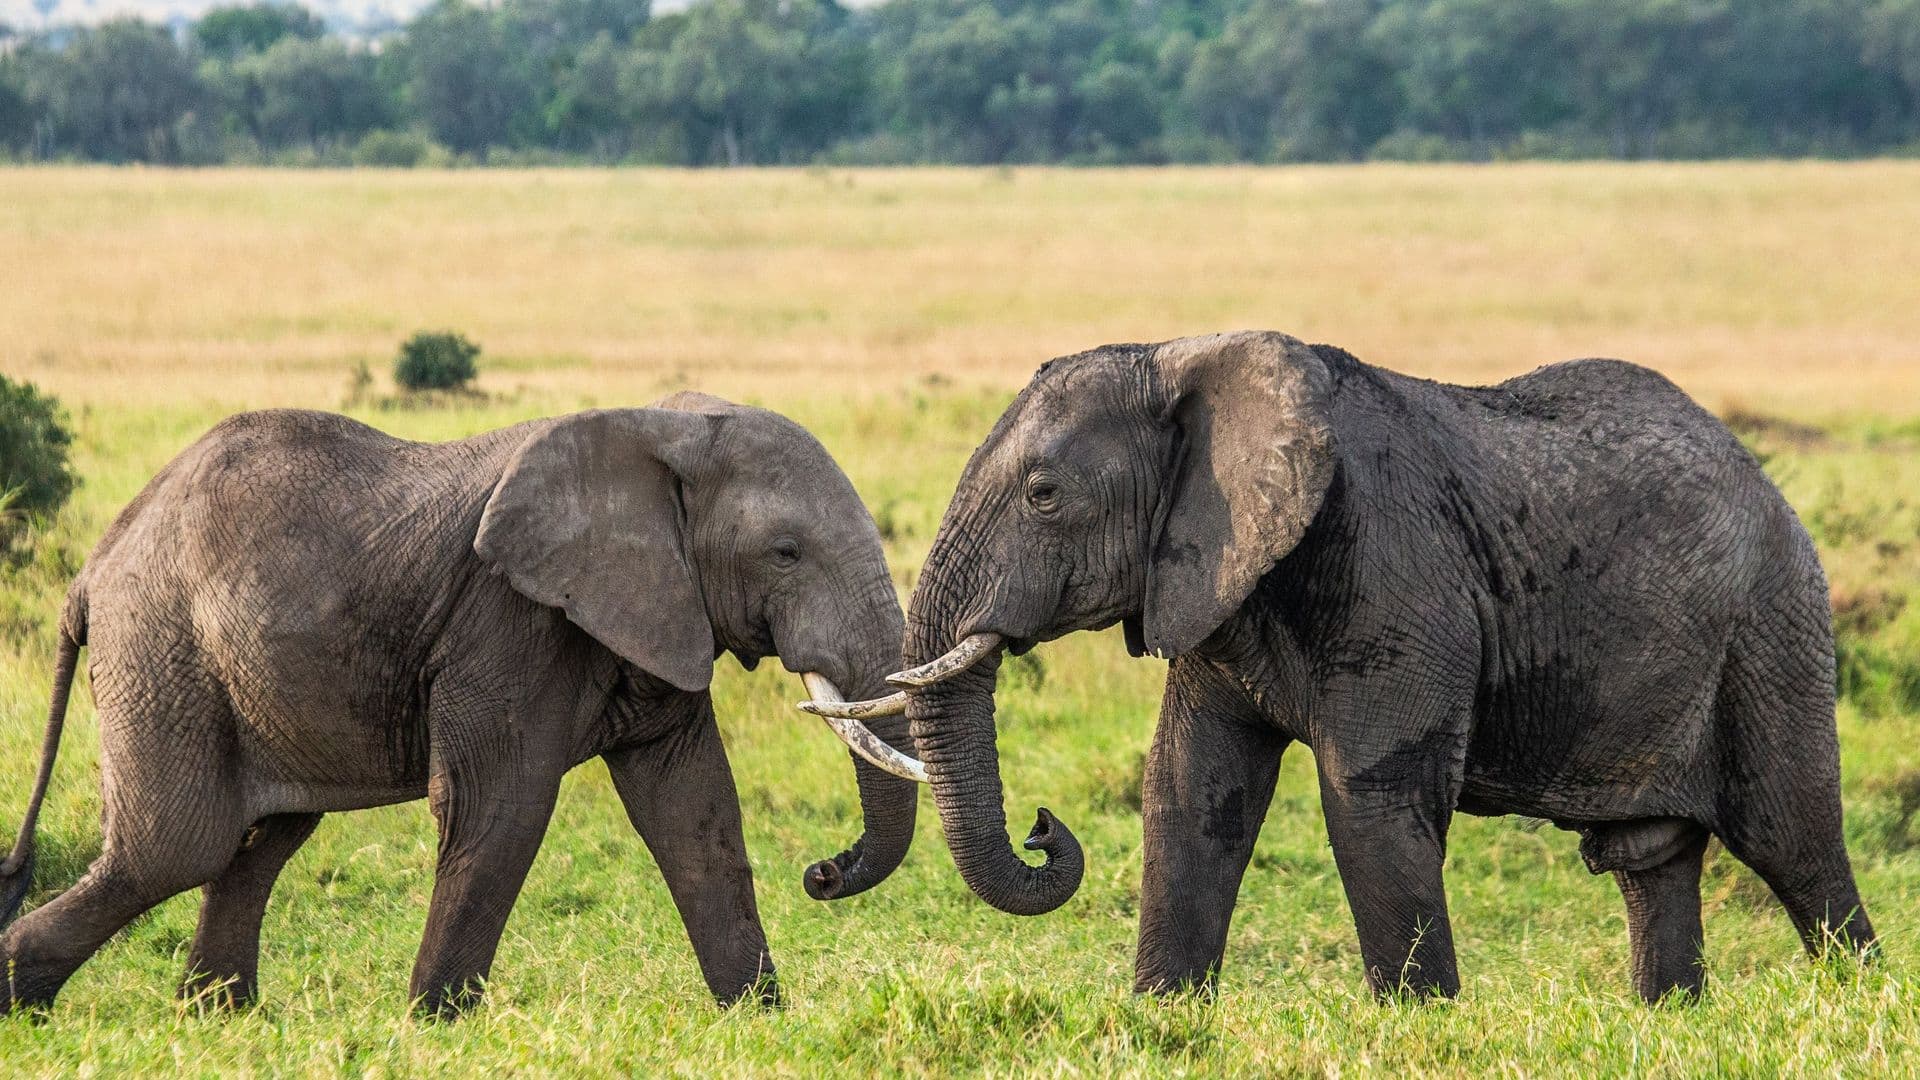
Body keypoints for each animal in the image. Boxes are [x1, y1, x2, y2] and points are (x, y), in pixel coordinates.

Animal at [0, 392, 924, 1018]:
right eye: (786, 552)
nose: (824, 870)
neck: (655, 429)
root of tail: (92, 570)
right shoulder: (507, 621)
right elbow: (502, 807)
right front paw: (434, 1023)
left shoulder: (661, 613)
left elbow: (695, 813)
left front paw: (755, 1018)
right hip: (165, 651)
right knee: (175, 848)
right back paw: (26, 995)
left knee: (257, 842)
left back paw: (217, 1016)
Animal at [808, 330, 1876, 1002]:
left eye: (1042, 495)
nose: (1042, 828)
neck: (1183, 357)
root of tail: (1767, 484)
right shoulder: (1213, 581)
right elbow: (1191, 789)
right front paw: (1162, 1023)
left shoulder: (1393, 569)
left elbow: (1369, 794)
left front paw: (1420, 1027)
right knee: (1650, 857)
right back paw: (1668, 1018)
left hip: (1771, 628)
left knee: (1793, 838)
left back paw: (1856, 1003)